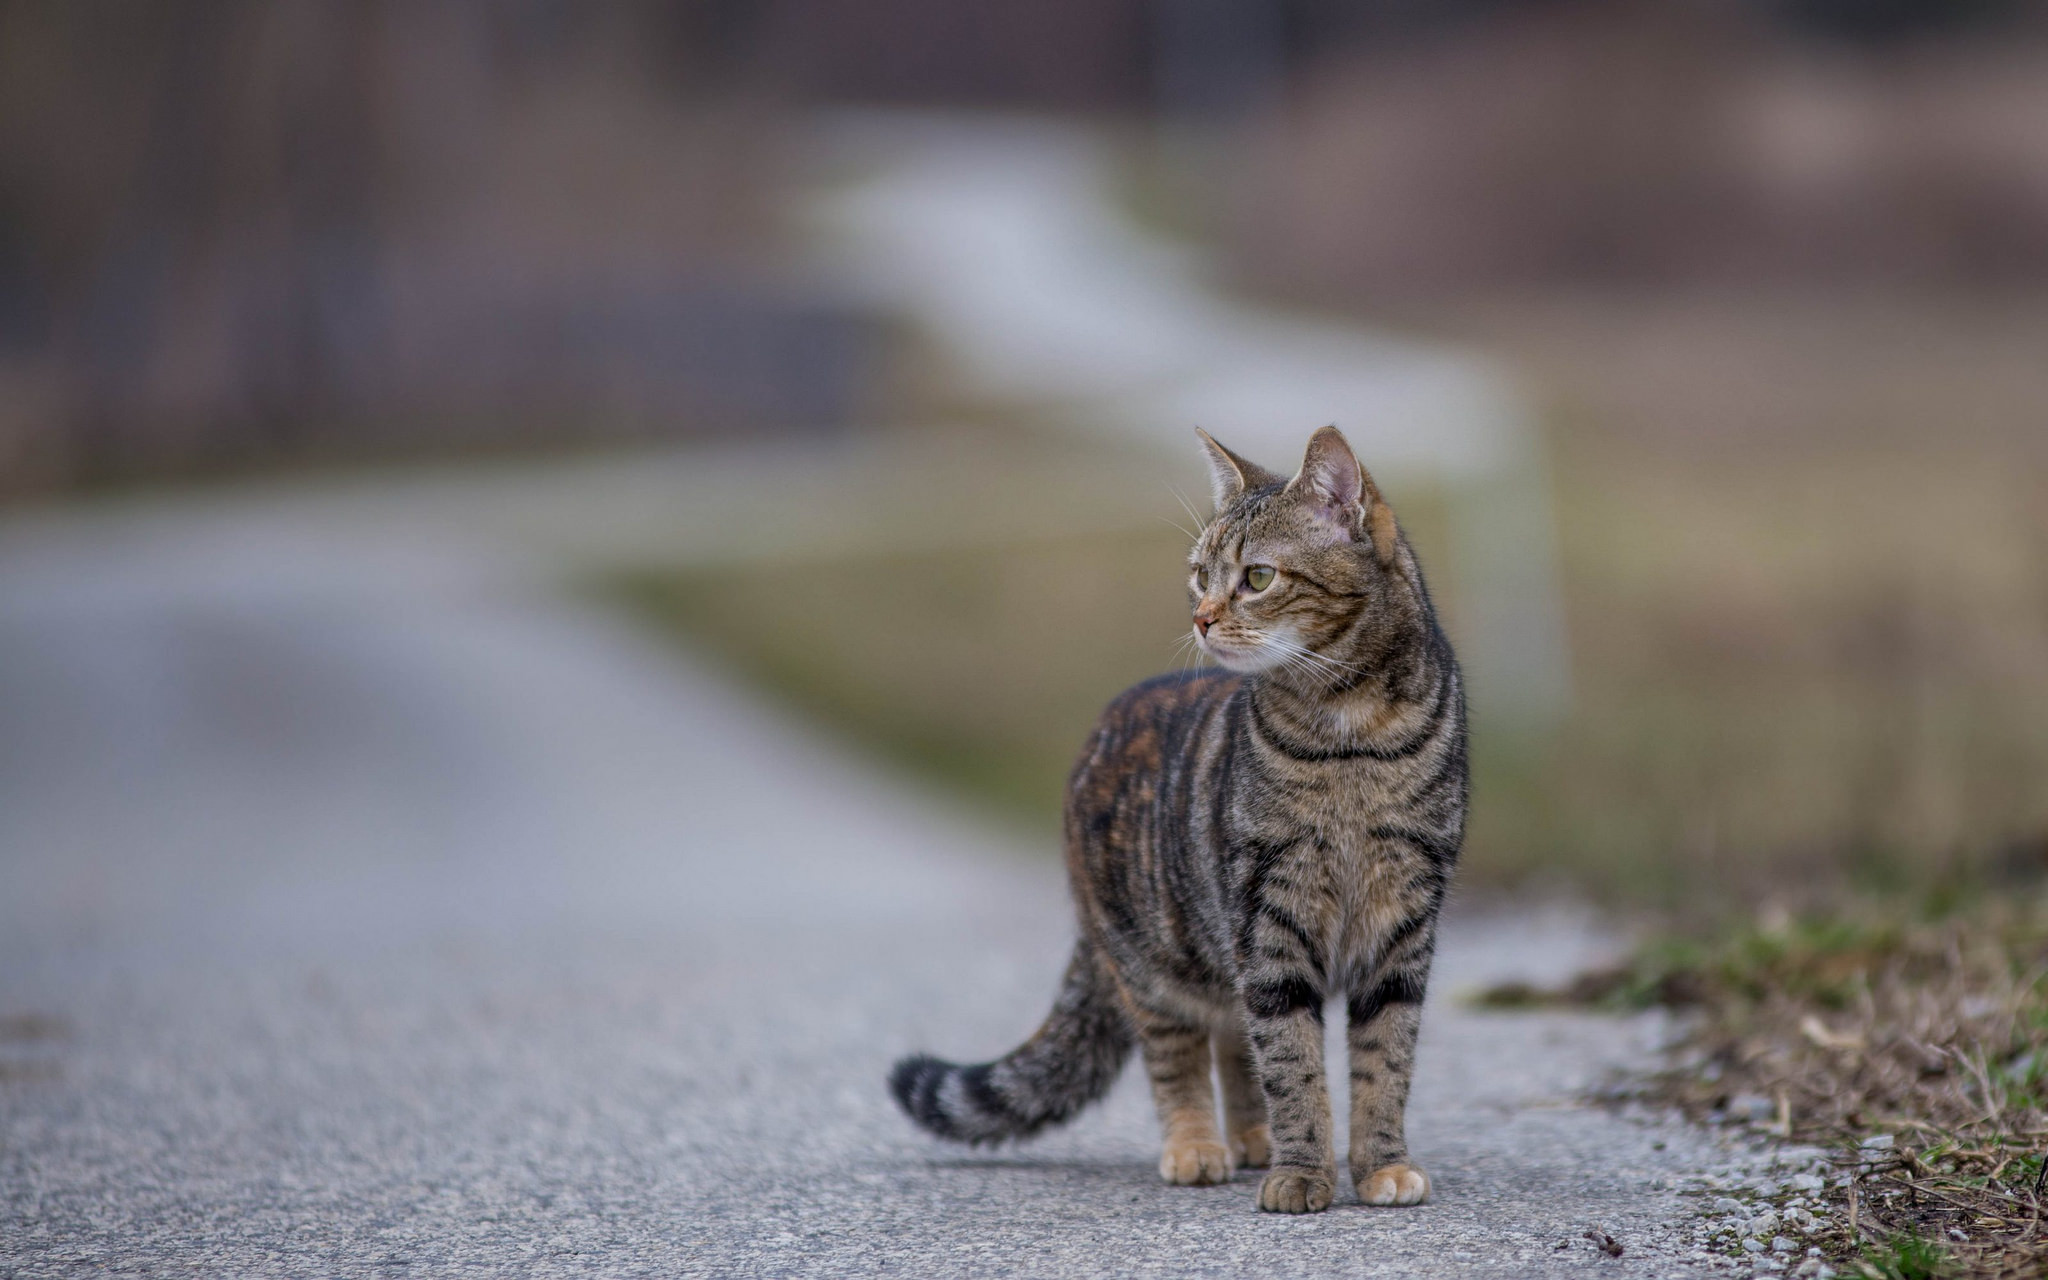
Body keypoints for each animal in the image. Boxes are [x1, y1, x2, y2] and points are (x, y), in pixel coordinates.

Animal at [888, 423, 1466, 1212]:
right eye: (1198, 575)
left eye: (1258, 577)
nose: (1200, 616)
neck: (1348, 734)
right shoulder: (1267, 918)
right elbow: (1292, 1062)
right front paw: (1303, 1173)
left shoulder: (1403, 923)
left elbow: (1384, 1060)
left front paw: (1380, 1164)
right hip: (1155, 957)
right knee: (1182, 1053)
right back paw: (1197, 1147)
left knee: (1231, 1035)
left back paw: (1251, 1138)